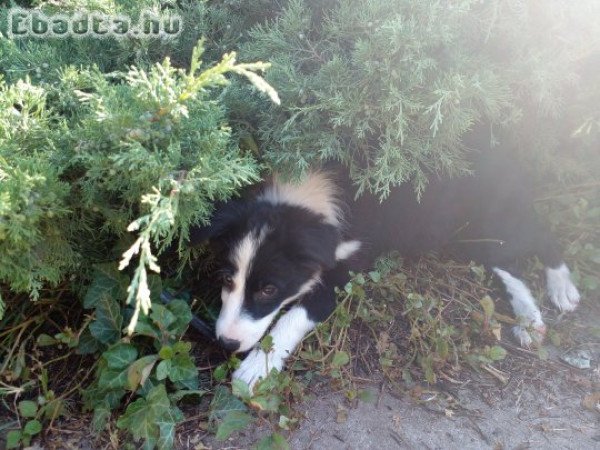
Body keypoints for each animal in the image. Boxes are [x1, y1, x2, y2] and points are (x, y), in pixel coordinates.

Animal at [190, 140, 580, 386]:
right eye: (226, 278)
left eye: (269, 289)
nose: (225, 343)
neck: (308, 199)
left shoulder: (343, 271)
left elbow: (293, 316)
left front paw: (259, 365)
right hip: (459, 234)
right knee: (504, 263)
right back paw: (529, 319)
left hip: (492, 216)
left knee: (541, 235)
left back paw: (558, 289)